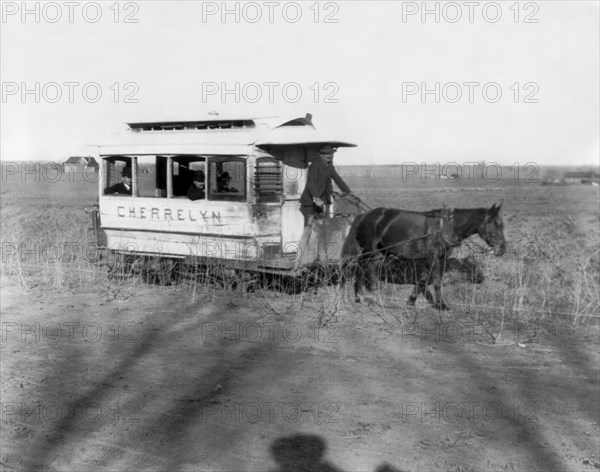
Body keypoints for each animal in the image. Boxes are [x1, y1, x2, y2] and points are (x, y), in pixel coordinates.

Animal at [342, 204, 506, 310]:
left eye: (502, 225)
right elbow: (437, 282)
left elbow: (422, 280)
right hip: (369, 250)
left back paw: (374, 294)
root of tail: (364, 216)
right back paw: (360, 296)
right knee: (360, 267)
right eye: (494, 224)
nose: (502, 249)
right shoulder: (434, 258)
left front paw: (411, 301)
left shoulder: (432, 259)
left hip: (382, 252)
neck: (443, 229)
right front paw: (442, 305)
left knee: (370, 269)